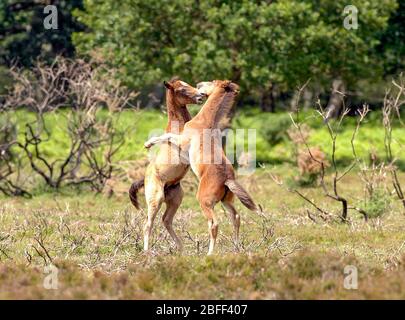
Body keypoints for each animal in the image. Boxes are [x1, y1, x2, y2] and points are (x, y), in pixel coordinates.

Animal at [129, 79, 205, 251]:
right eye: (182, 89)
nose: (201, 95)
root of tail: (145, 179)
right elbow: (166, 136)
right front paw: (148, 144)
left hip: (176, 199)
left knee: (166, 220)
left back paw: (181, 248)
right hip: (155, 199)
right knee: (148, 224)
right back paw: (147, 251)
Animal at [144, 80, 260, 255]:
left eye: (212, 82)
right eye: (182, 88)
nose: (199, 87)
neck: (205, 121)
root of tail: (227, 179)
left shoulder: (182, 142)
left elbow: (167, 136)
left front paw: (148, 143)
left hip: (201, 202)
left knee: (213, 224)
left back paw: (208, 253)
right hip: (225, 201)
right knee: (235, 217)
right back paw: (236, 248)